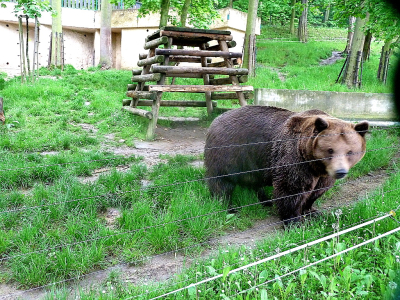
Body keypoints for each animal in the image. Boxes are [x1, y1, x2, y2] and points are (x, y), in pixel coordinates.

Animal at [205, 105, 370, 225]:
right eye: (330, 150)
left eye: (350, 151)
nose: (340, 171)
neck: (314, 164)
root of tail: (215, 120)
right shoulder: (295, 158)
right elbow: (291, 188)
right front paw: (294, 221)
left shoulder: (322, 173)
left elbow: (318, 190)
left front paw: (312, 211)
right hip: (228, 154)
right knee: (221, 183)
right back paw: (229, 207)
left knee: (254, 182)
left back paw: (266, 200)